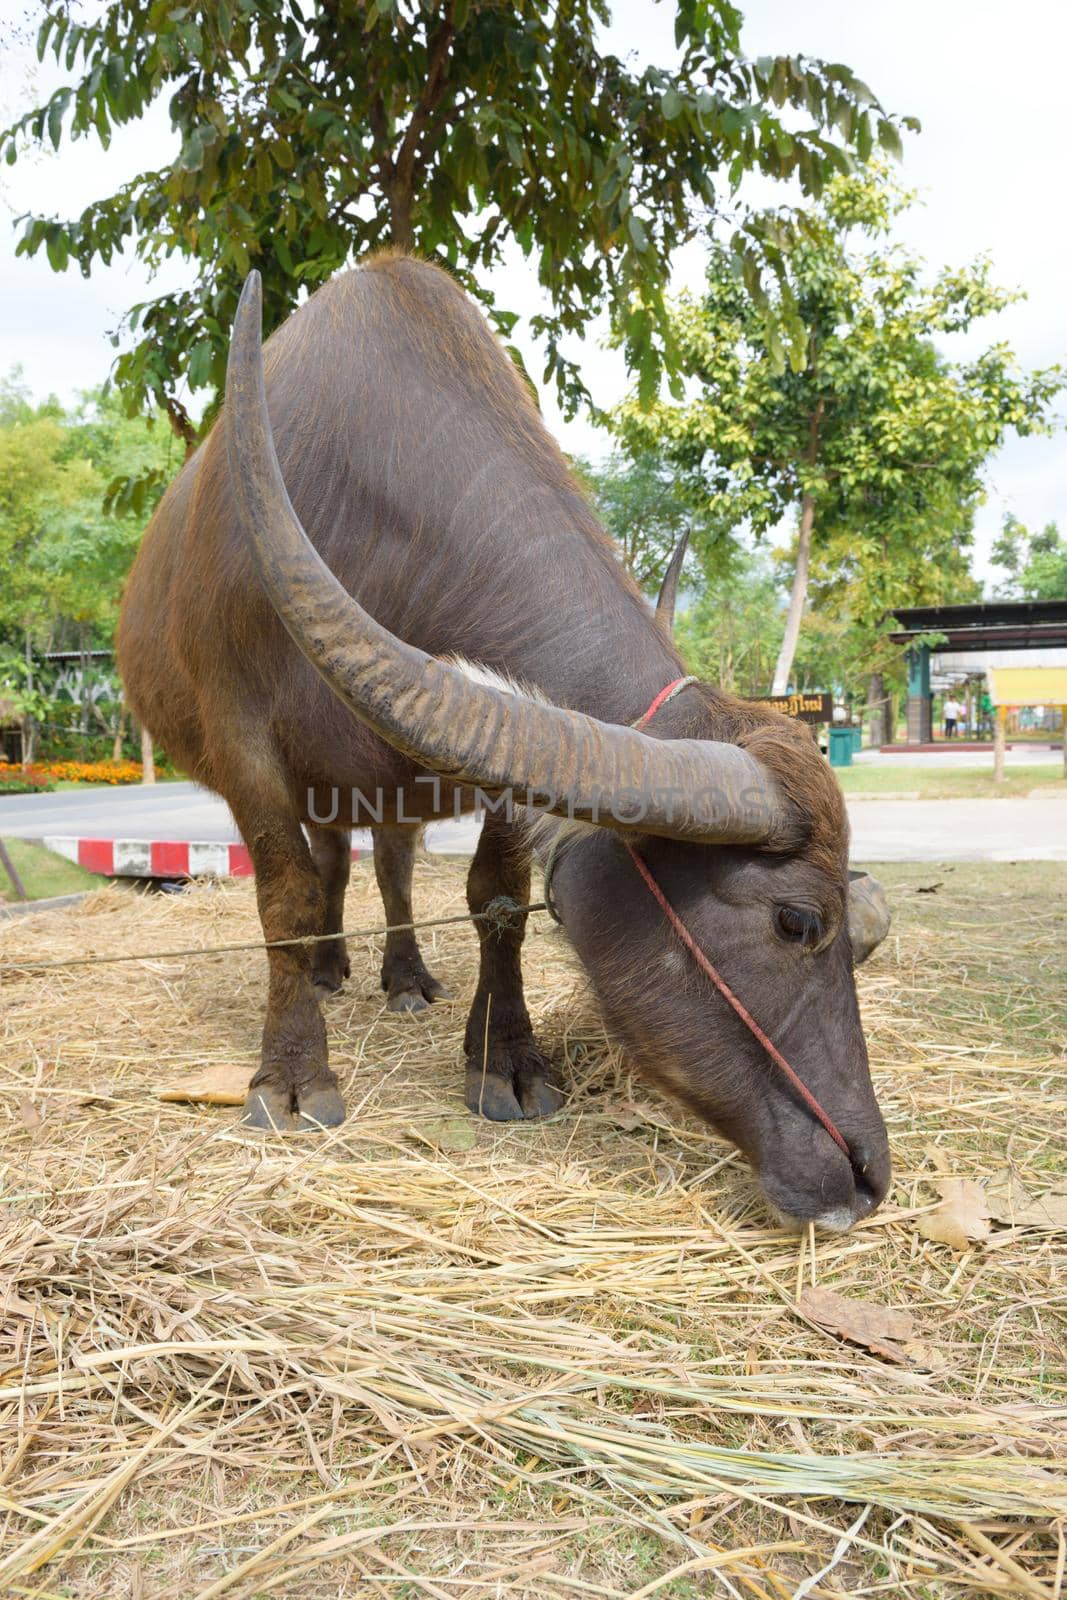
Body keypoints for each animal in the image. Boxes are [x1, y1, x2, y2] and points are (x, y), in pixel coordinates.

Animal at [115, 252, 895, 1222]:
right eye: (796, 922)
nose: (865, 1174)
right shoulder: (242, 737)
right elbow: (285, 898)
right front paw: (292, 1075)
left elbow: (495, 900)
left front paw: (507, 1059)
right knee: (329, 867)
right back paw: (332, 973)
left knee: (388, 867)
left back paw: (403, 978)